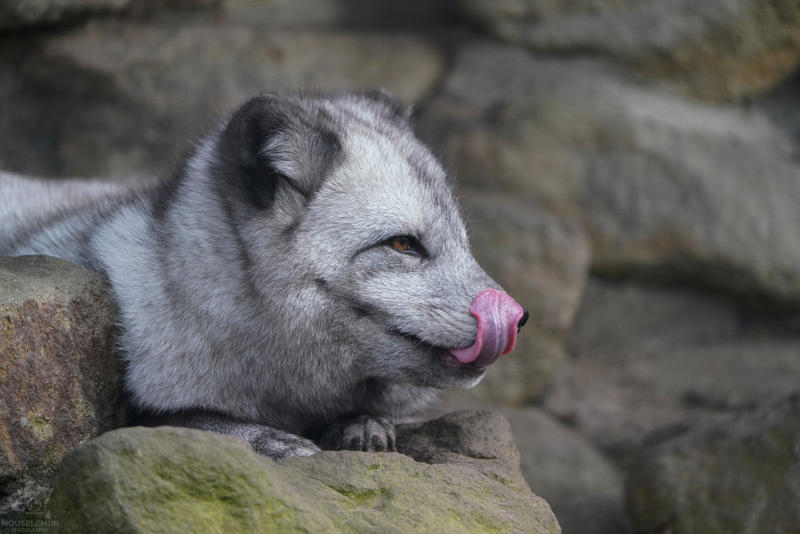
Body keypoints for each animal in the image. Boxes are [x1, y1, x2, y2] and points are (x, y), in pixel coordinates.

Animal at [1, 92, 524, 460]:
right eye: (402, 244)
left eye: (463, 241)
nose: (517, 319)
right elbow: (189, 420)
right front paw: (273, 441)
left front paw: (363, 424)